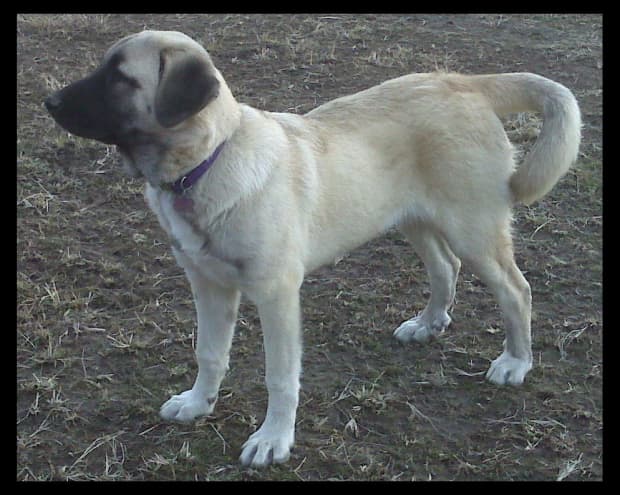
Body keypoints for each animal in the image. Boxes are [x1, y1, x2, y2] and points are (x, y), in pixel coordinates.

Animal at [44, 31, 580, 468]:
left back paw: (515, 363)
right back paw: (428, 324)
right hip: (413, 218)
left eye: (119, 78)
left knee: (515, 290)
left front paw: (273, 440)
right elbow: (209, 353)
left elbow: (280, 377)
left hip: (474, 229)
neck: (207, 163)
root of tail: (467, 83)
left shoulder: (276, 294)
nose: (48, 102)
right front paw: (198, 404)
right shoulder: (208, 285)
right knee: (444, 267)